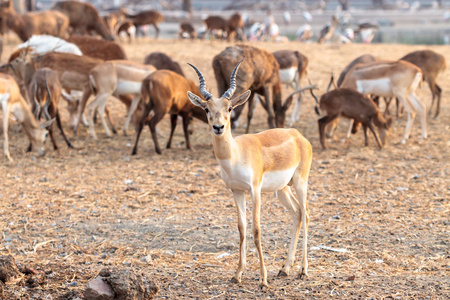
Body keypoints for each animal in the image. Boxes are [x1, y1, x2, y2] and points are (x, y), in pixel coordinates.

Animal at [187, 59, 312, 288]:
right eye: (207, 109)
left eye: (229, 108)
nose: (218, 127)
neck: (235, 155)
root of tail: (297, 134)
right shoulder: (236, 191)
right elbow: (242, 229)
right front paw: (237, 274)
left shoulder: (255, 190)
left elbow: (256, 230)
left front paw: (263, 280)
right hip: (282, 189)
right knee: (297, 214)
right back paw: (285, 269)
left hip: (301, 182)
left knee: (306, 214)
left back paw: (303, 271)